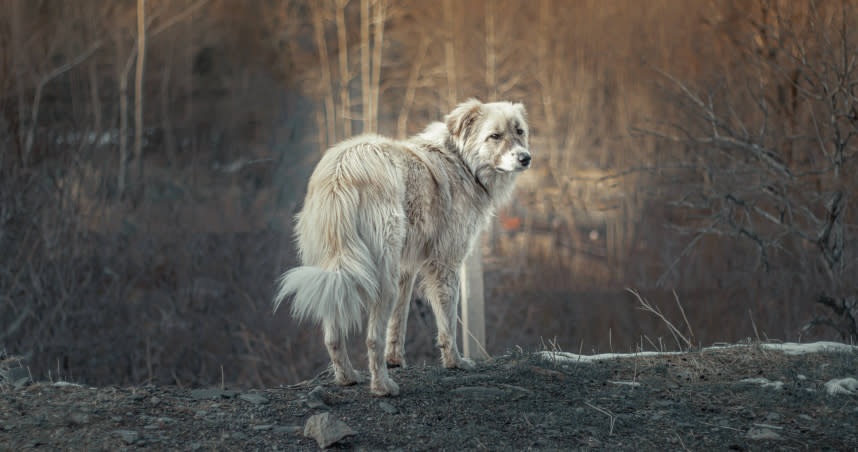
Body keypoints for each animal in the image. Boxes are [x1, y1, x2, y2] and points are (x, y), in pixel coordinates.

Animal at [274, 99, 528, 396]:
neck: (461, 161)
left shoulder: (406, 269)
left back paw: (348, 377)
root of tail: (342, 172)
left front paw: (396, 360)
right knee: (372, 338)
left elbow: (399, 322)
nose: (525, 158)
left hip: (340, 271)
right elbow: (448, 322)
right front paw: (455, 362)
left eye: (520, 131)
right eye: (495, 136)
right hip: (381, 277)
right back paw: (383, 387)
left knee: (333, 334)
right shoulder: (446, 264)